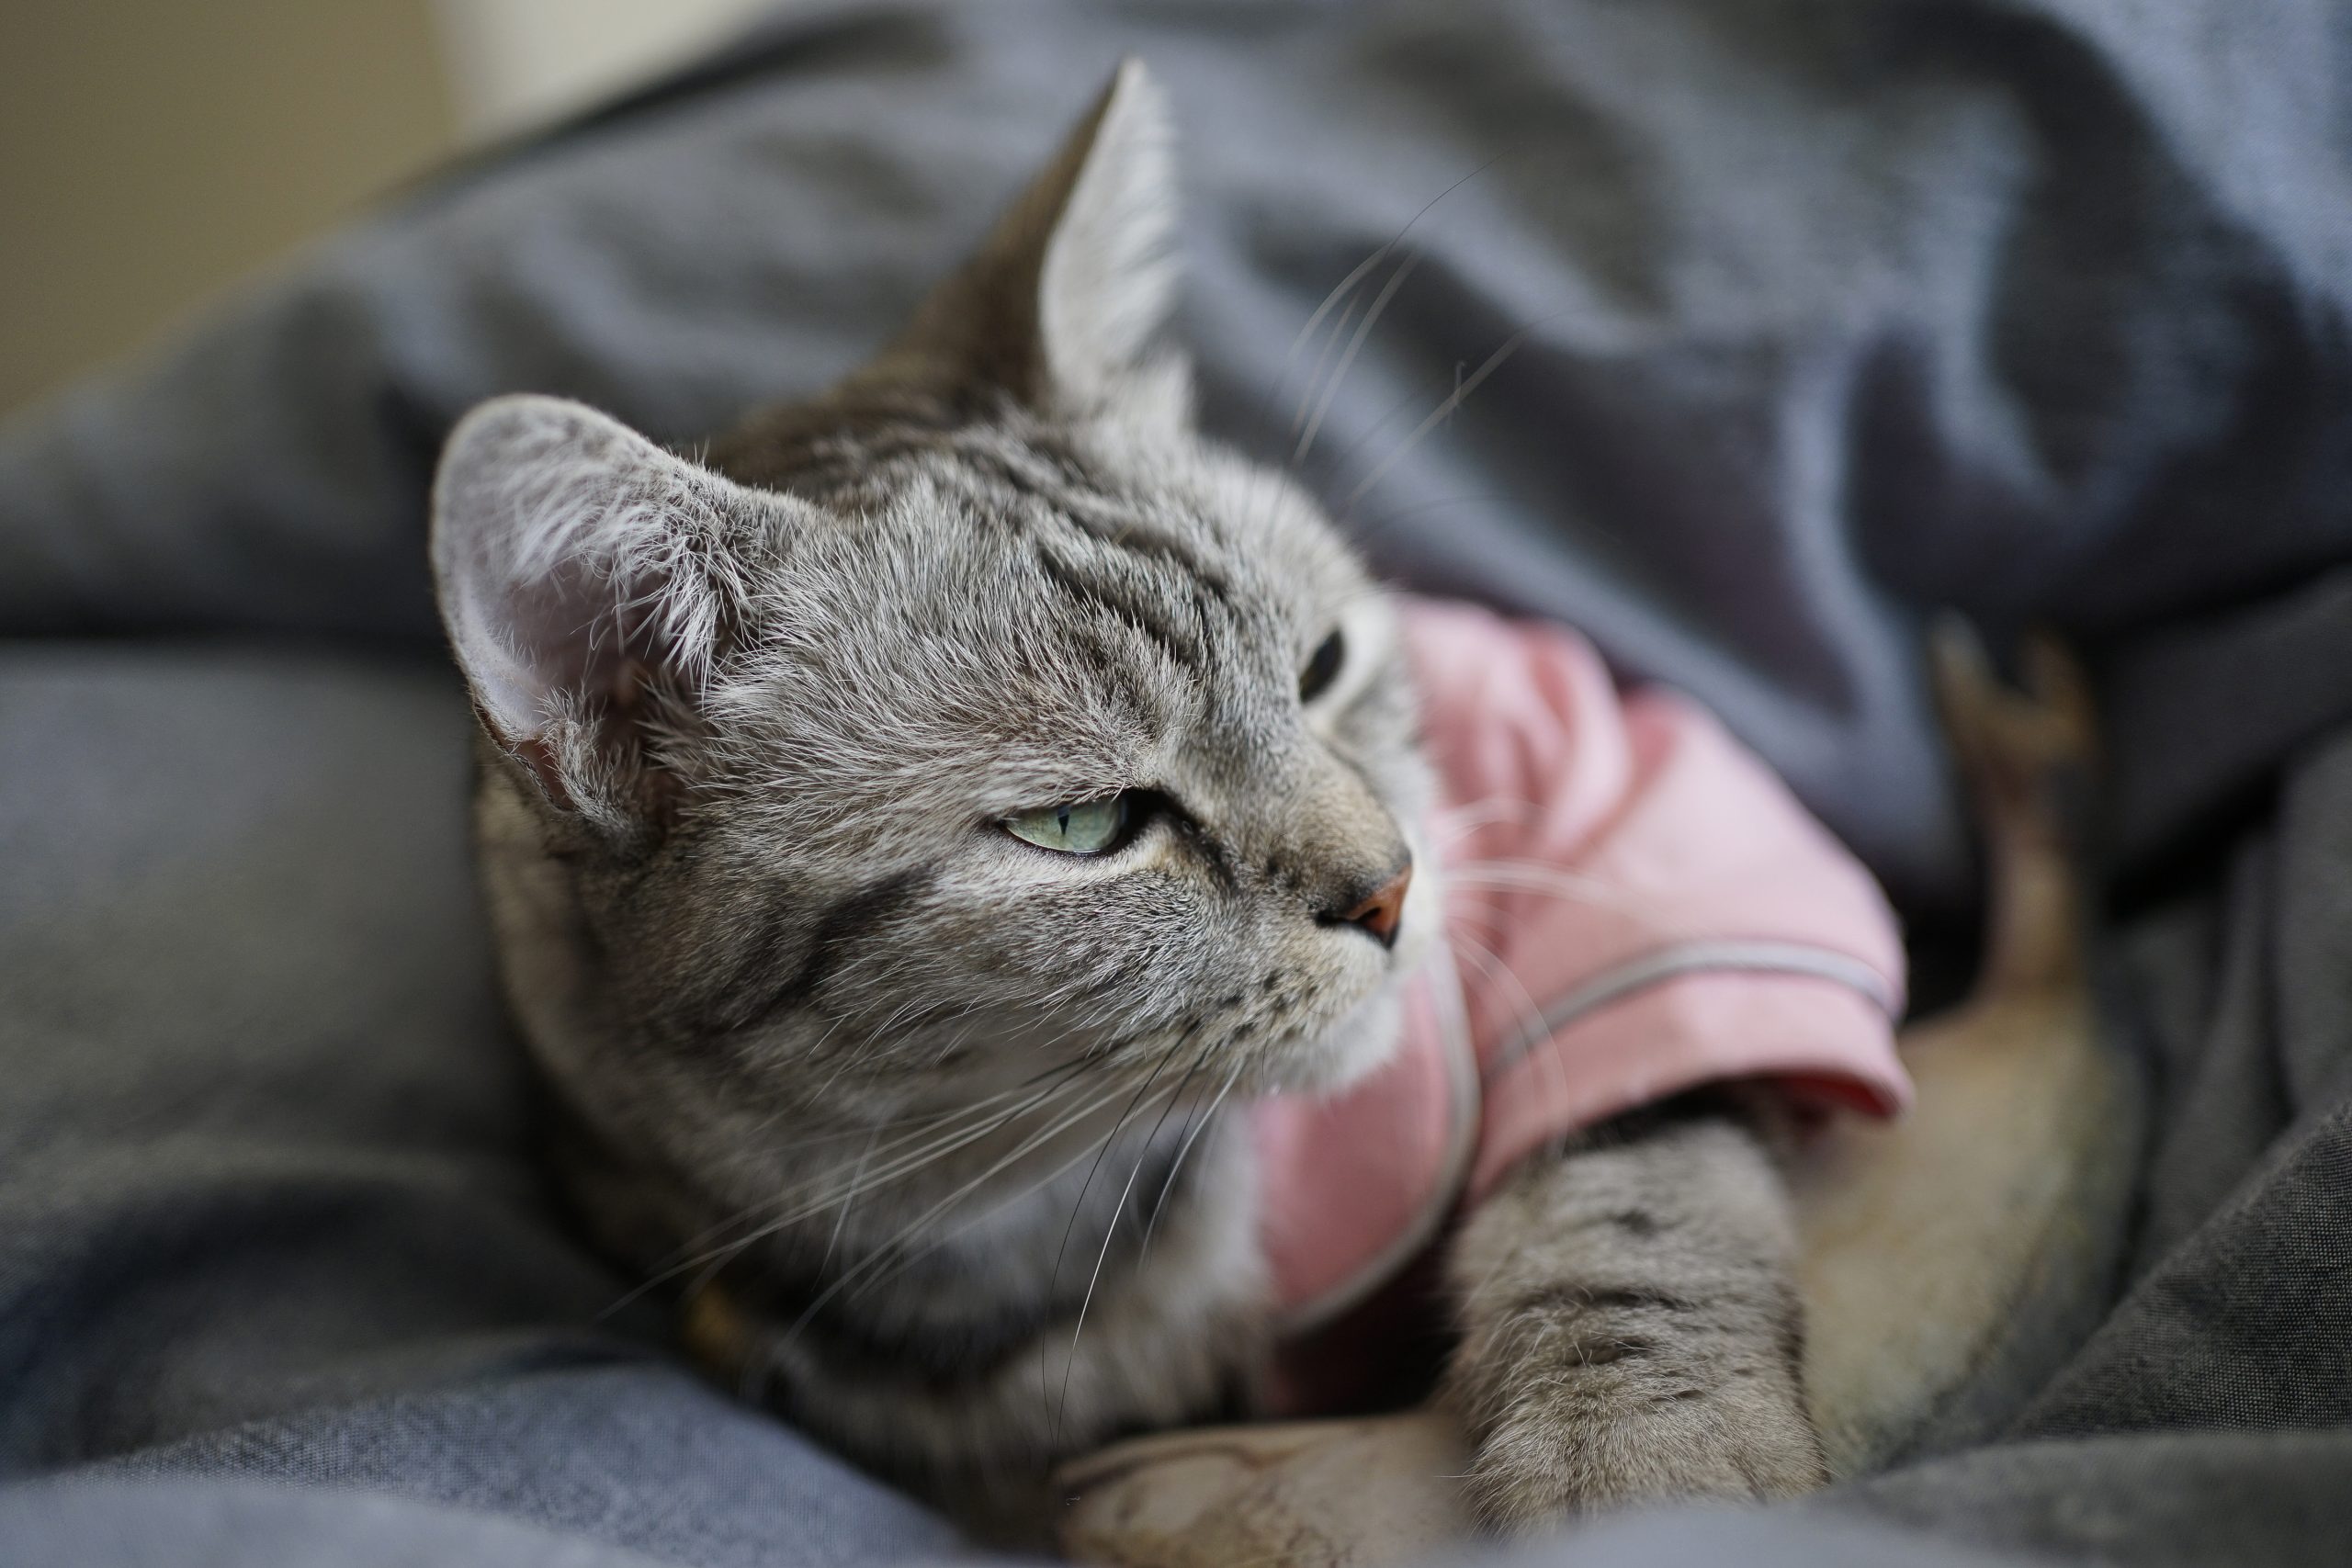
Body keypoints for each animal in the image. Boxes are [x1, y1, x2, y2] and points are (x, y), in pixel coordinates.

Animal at [423, 61, 1871, 1532]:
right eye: (1083, 825)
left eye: (1323, 665)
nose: (1395, 885)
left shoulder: (1628, 817)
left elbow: (1628, 1188)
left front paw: (1653, 1470)